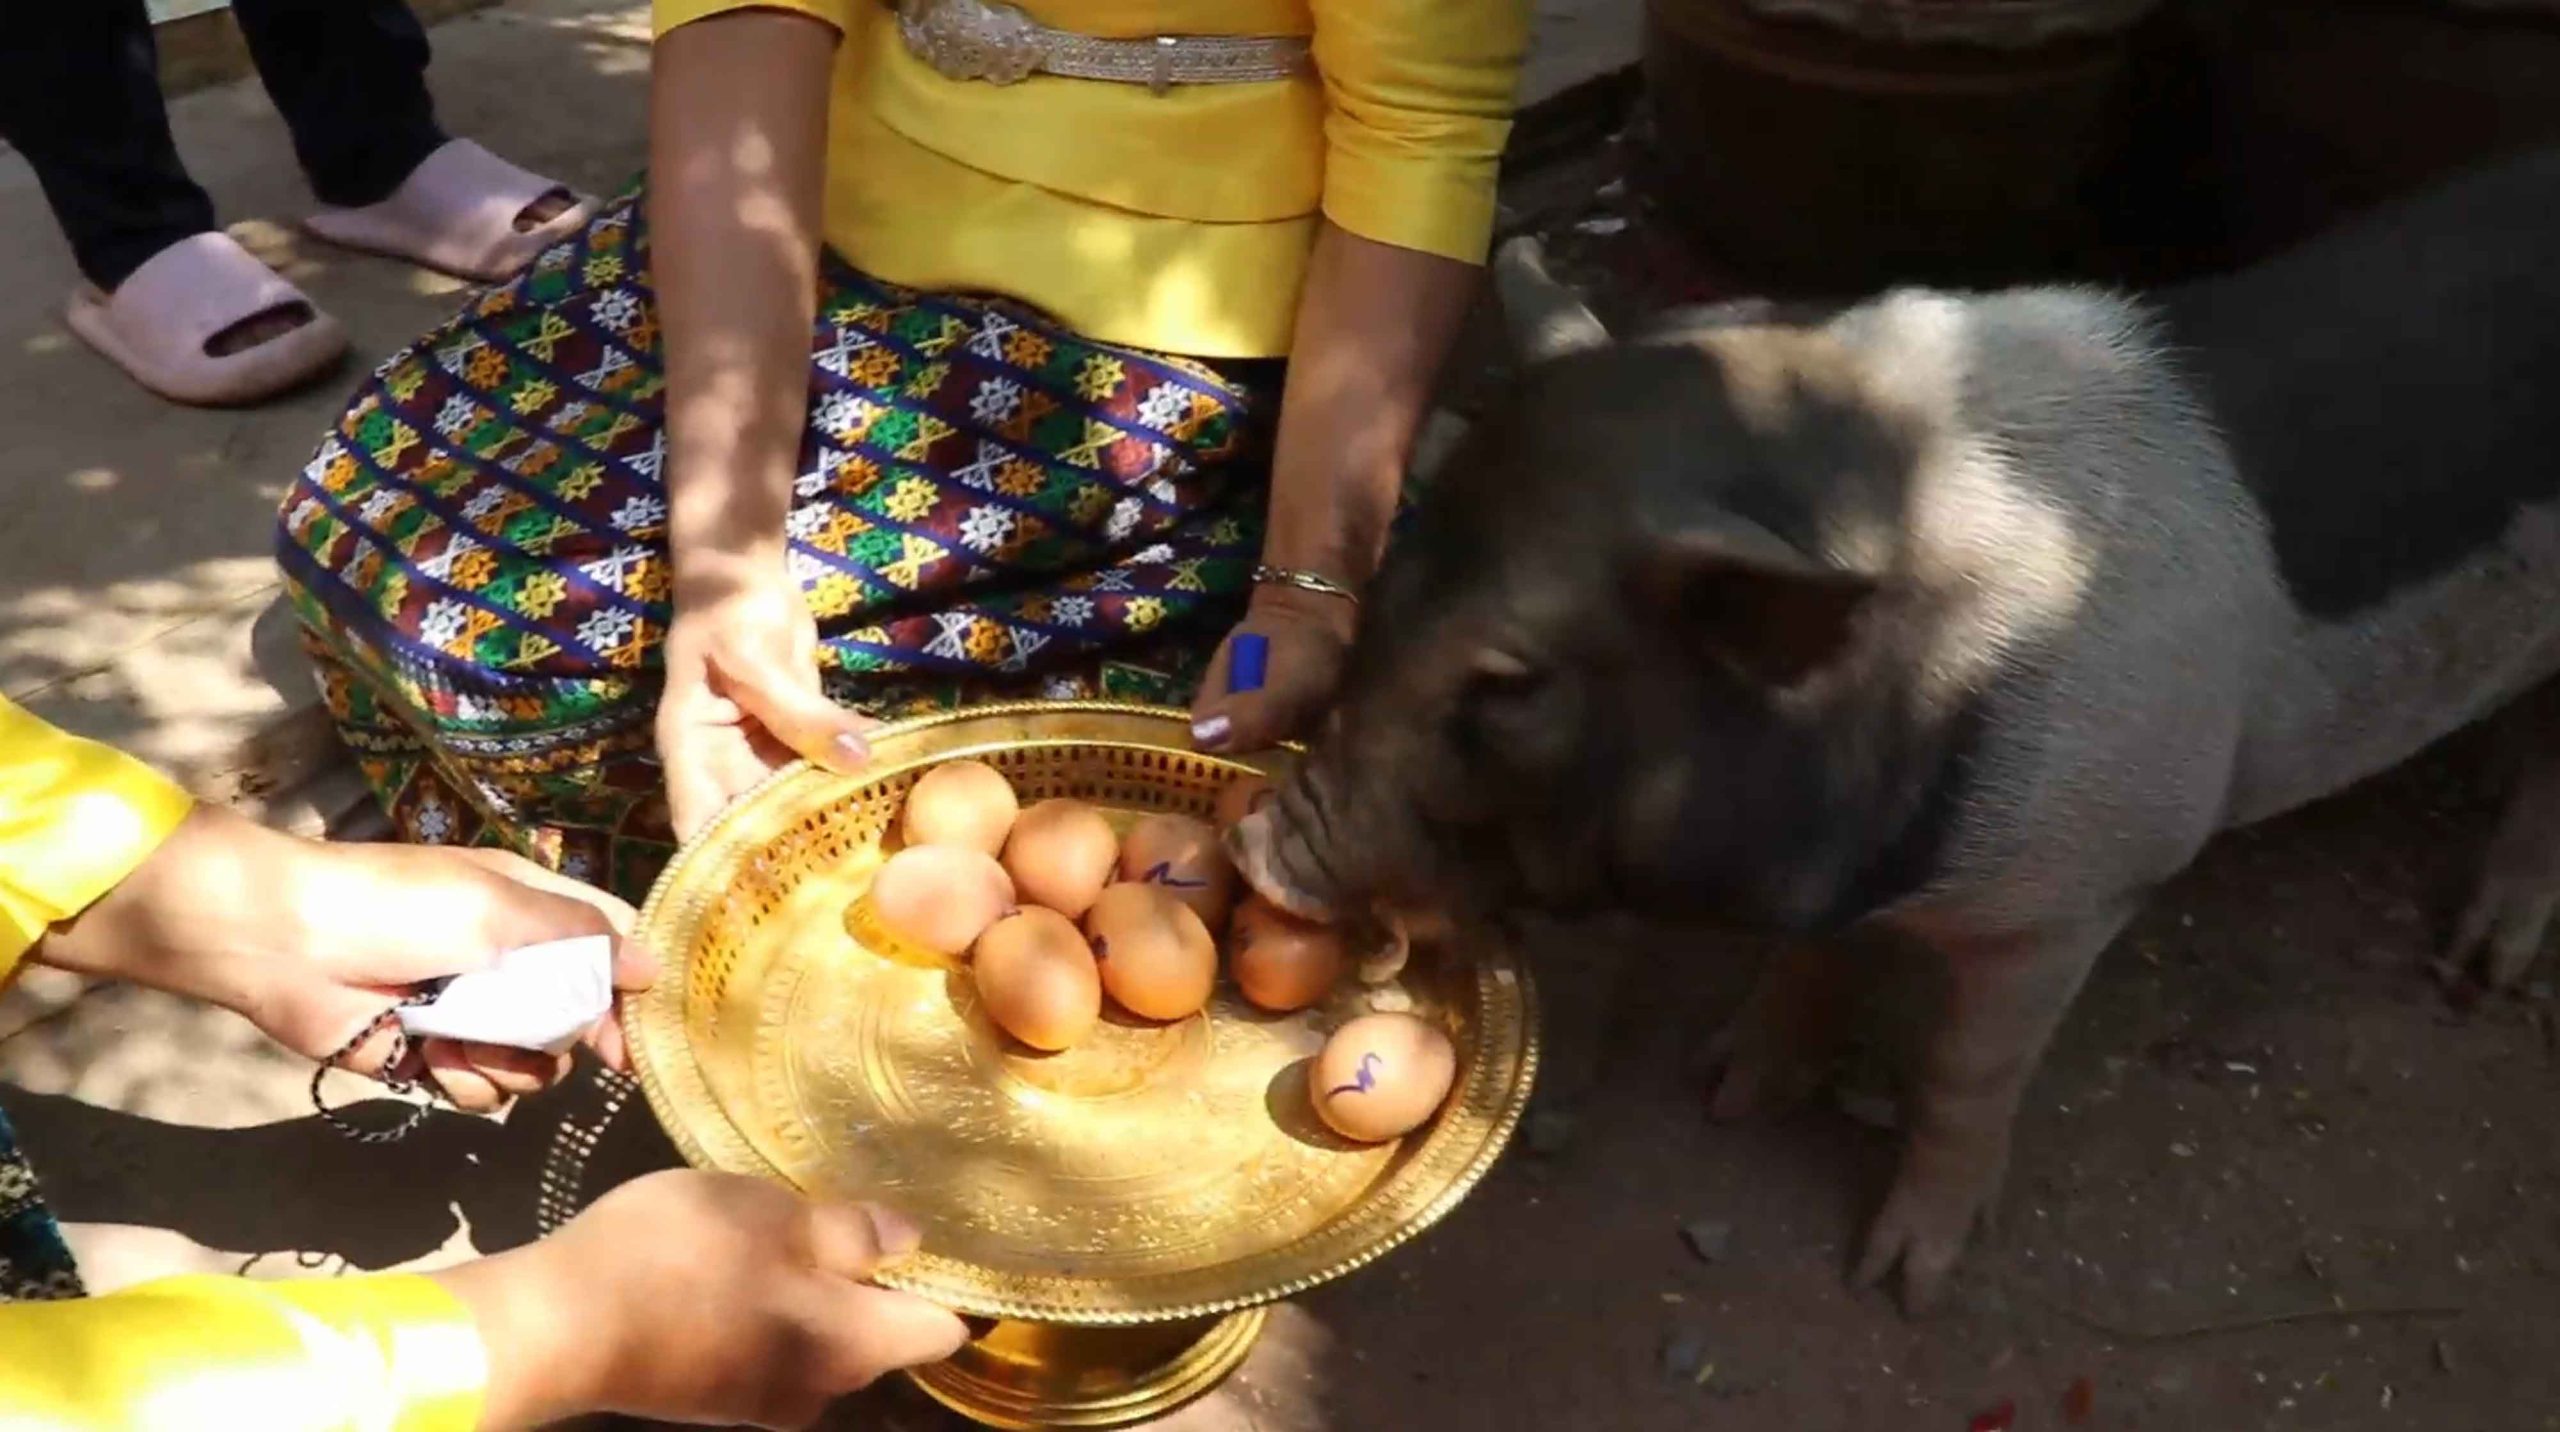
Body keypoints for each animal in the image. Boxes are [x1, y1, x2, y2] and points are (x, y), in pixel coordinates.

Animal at [1228, 151, 2560, 1321]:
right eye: (1390, 566)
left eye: (1509, 679)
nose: (1253, 843)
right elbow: (1807, 964)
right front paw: (1729, 1088)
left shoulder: (2081, 890)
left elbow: (1966, 1076)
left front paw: (1899, 1285)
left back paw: (2478, 971)